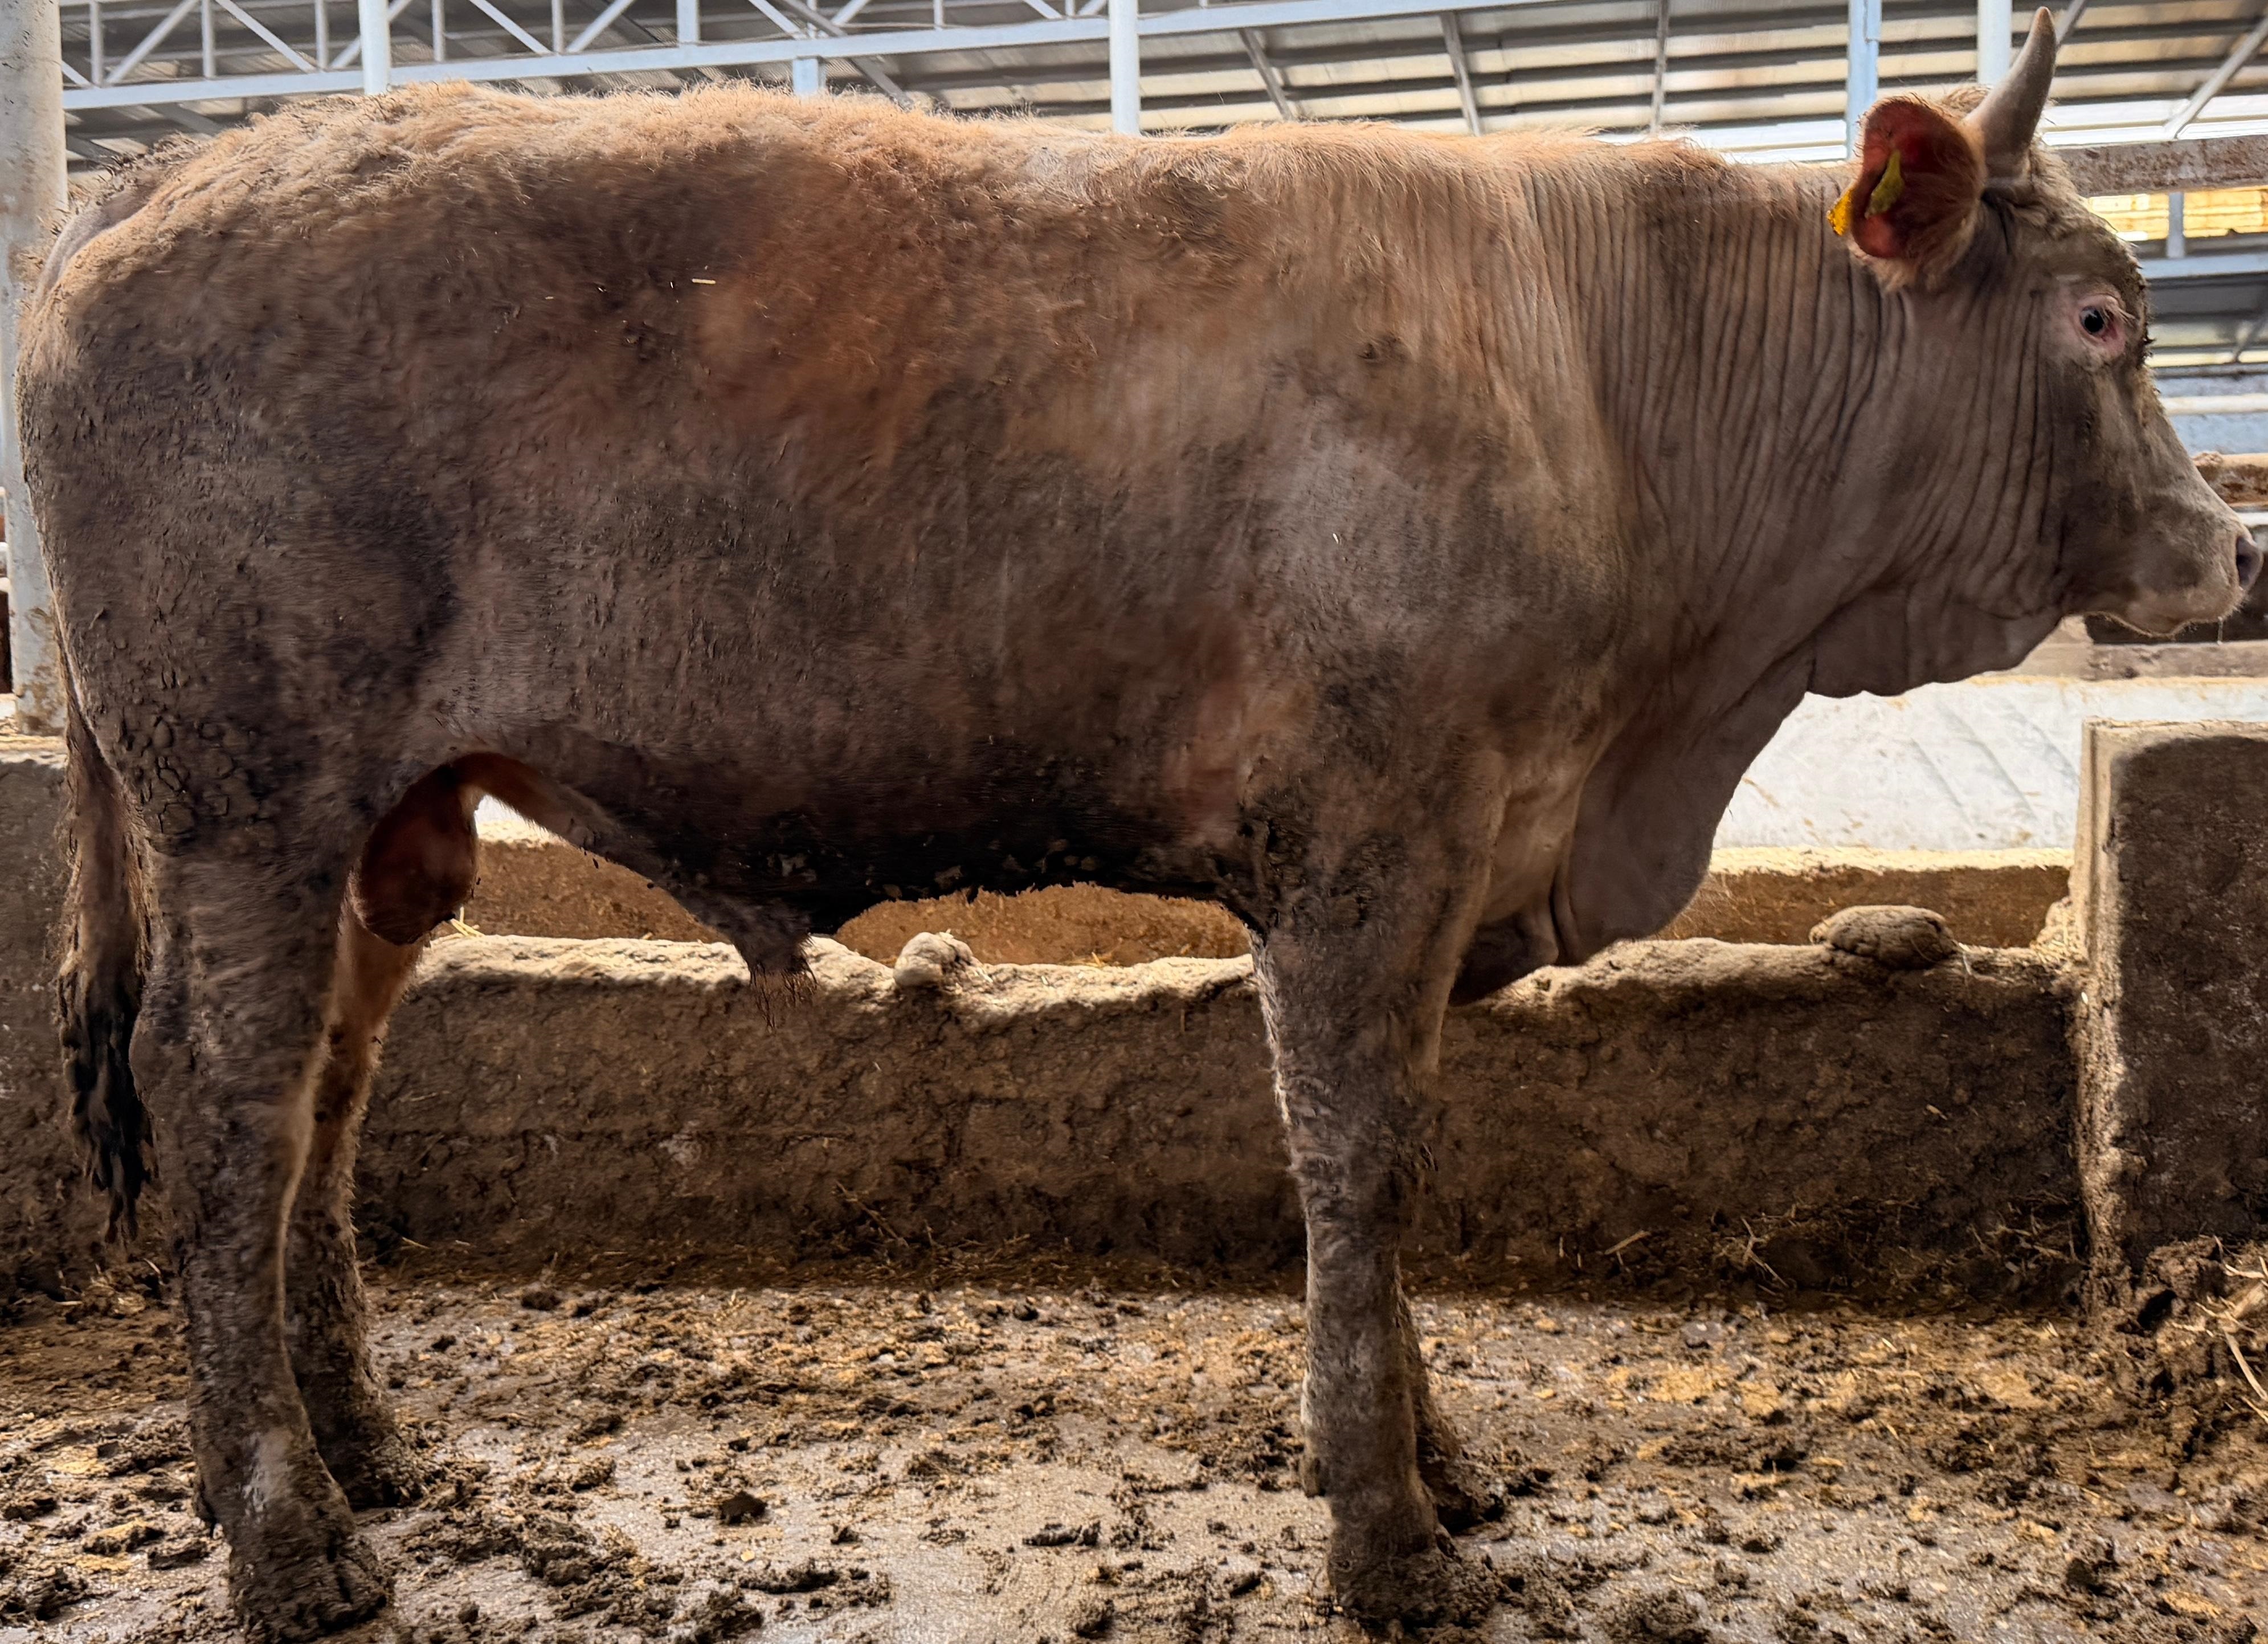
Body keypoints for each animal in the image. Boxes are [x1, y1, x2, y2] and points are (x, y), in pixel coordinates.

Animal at [19, 9, 2251, 1636]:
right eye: (2102, 324)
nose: (2231, 545)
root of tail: (179, 167)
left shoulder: (1444, 859)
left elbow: (1393, 1161)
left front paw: (1439, 1467)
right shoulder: (1370, 848)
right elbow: (1362, 1163)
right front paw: (1390, 1537)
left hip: (390, 819)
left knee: (325, 1089)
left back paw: (359, 1448)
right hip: (247, 791)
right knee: (223, 1097)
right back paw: (289, 1536)